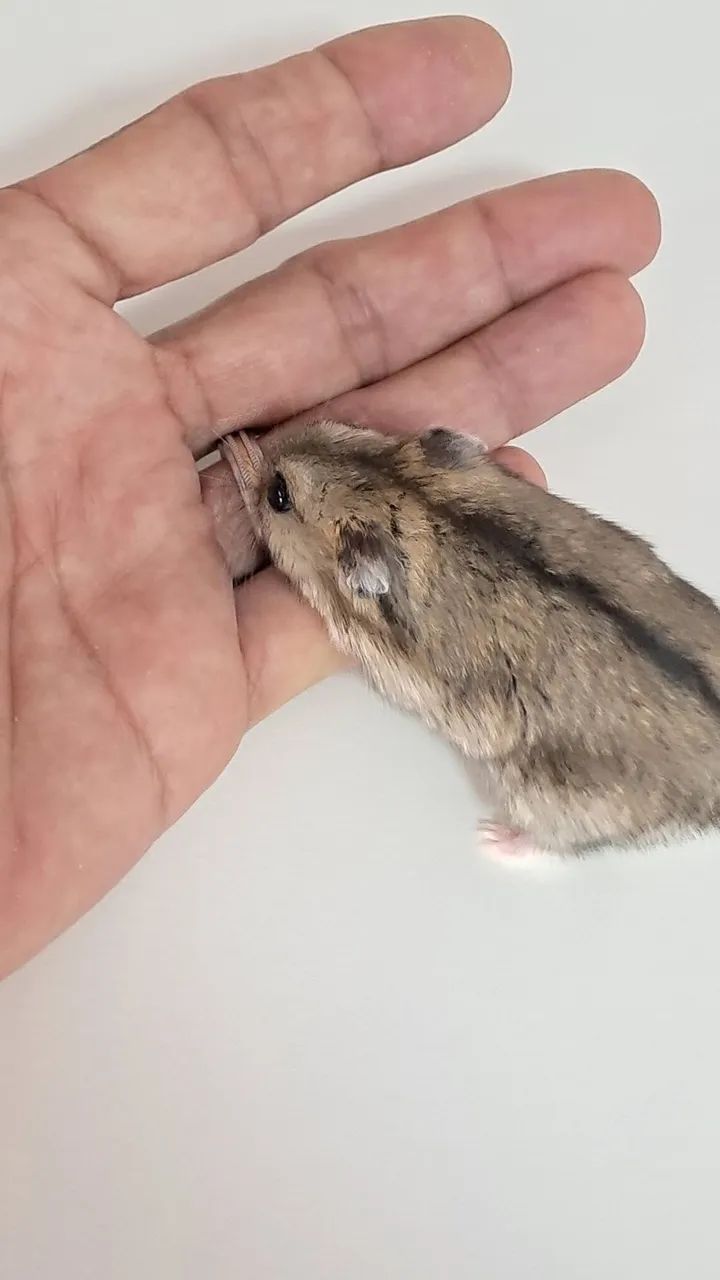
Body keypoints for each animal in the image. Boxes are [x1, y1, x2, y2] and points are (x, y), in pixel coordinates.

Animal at [221, 420, 720, 857]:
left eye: (280, 494)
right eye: (339, 427)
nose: (260, 434)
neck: (406, 495)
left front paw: (237, 449)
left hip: (550, 792)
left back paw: (495, 839)